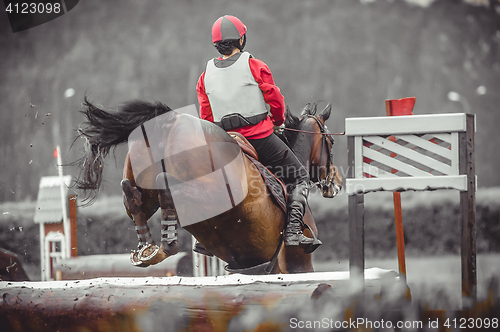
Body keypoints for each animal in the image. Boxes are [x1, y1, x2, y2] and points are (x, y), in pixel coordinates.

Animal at [73, 97, 340, 274]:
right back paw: (166, 245)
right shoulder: (298, 264)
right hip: (214, 193)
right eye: (331, 141)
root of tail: (172, 120)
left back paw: (148, 249)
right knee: (170, 192)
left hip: (143, 185)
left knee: (133, 197)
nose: (335, 184)